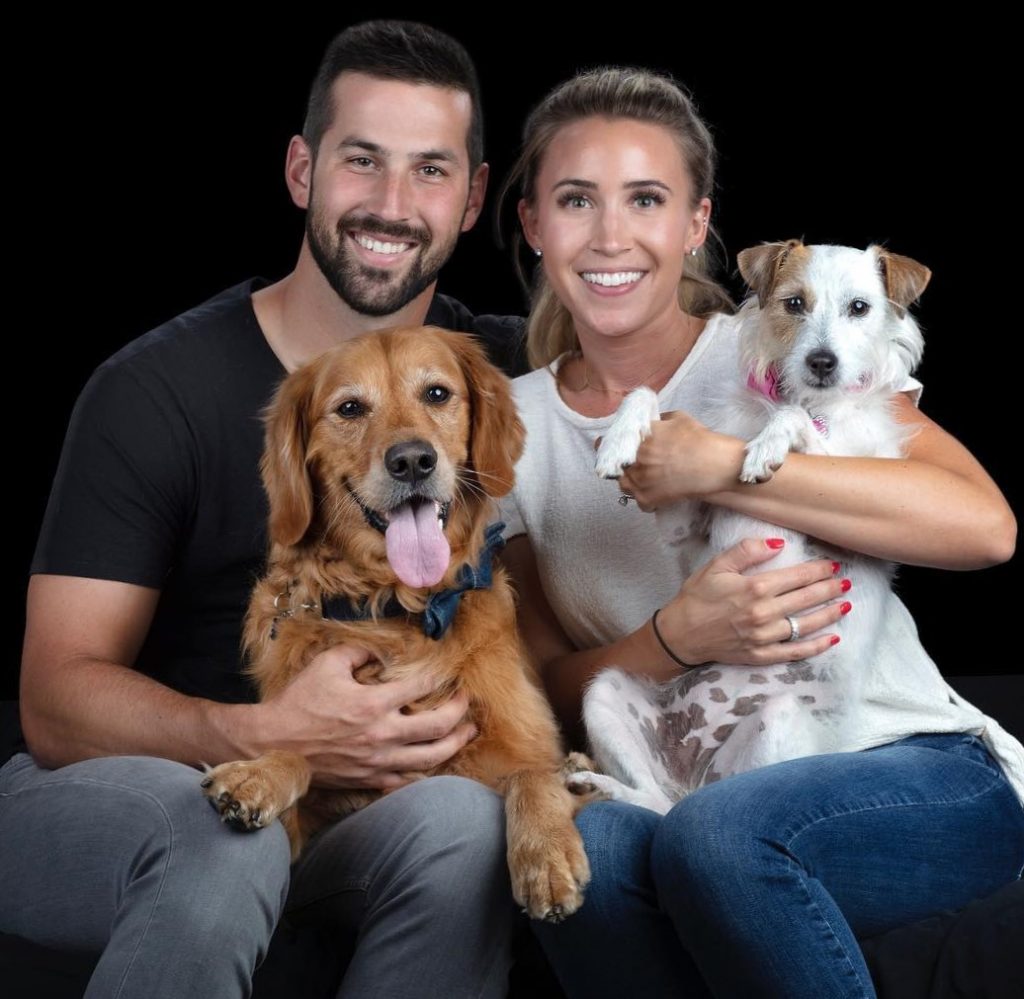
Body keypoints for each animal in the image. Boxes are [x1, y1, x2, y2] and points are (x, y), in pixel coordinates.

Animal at [581, 239, 933, 810]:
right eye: (794, 304)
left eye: (859, 308)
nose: (821, 362)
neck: (805, 399)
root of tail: (694, 773)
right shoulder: (683, 525)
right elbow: (646, 394)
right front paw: (621, 436)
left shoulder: (857, 524)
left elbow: (797, 425)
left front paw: (768, 446)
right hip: (604, 692)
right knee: (655, 803)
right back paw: (596, 784)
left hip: (776, 723)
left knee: (680, 807)